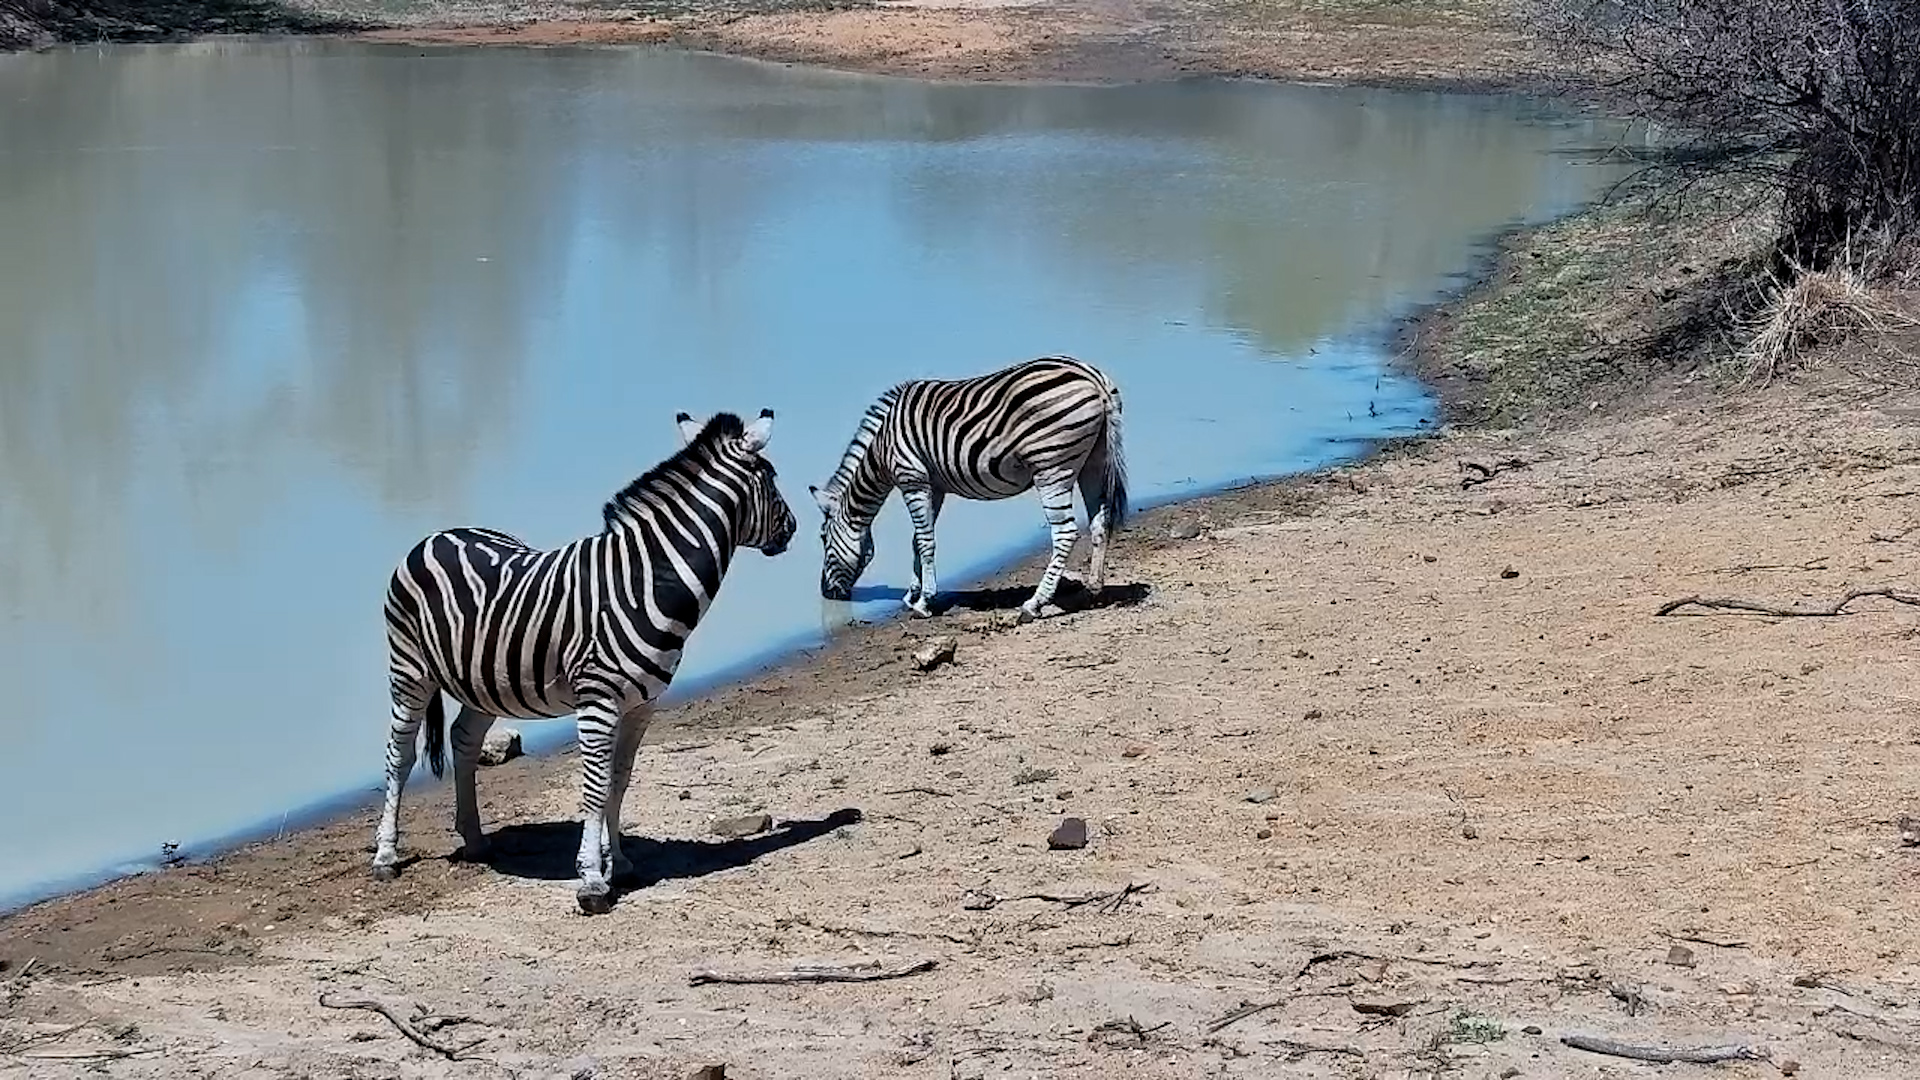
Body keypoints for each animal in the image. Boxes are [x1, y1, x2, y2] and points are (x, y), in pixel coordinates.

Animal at [369, 409, 796, 915]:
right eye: (772, 477)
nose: (792, 528)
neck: (646, 582)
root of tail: (434, 535)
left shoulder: (642, 704)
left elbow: (618, 781)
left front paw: (622, 864)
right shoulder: (598, 701)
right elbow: (593, 787)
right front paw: (592, 880)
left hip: (485, 680)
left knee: (464, 740)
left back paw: (474, 840)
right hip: (409, 671)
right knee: (400, 755)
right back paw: (386, 855)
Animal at [810, 355, 1127, 620]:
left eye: (823, 538)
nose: (825, 593)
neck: (882, 447)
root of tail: (1092, 376)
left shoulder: (912, 480)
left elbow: (924, 541)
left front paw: (924, 601)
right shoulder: (933, 487)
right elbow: (916, 540)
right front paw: (912, 595)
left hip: (1052, 467)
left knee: (1065, 532)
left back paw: (1034, 604)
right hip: (1092, 462)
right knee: (1099, 522)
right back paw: (1093, 588)